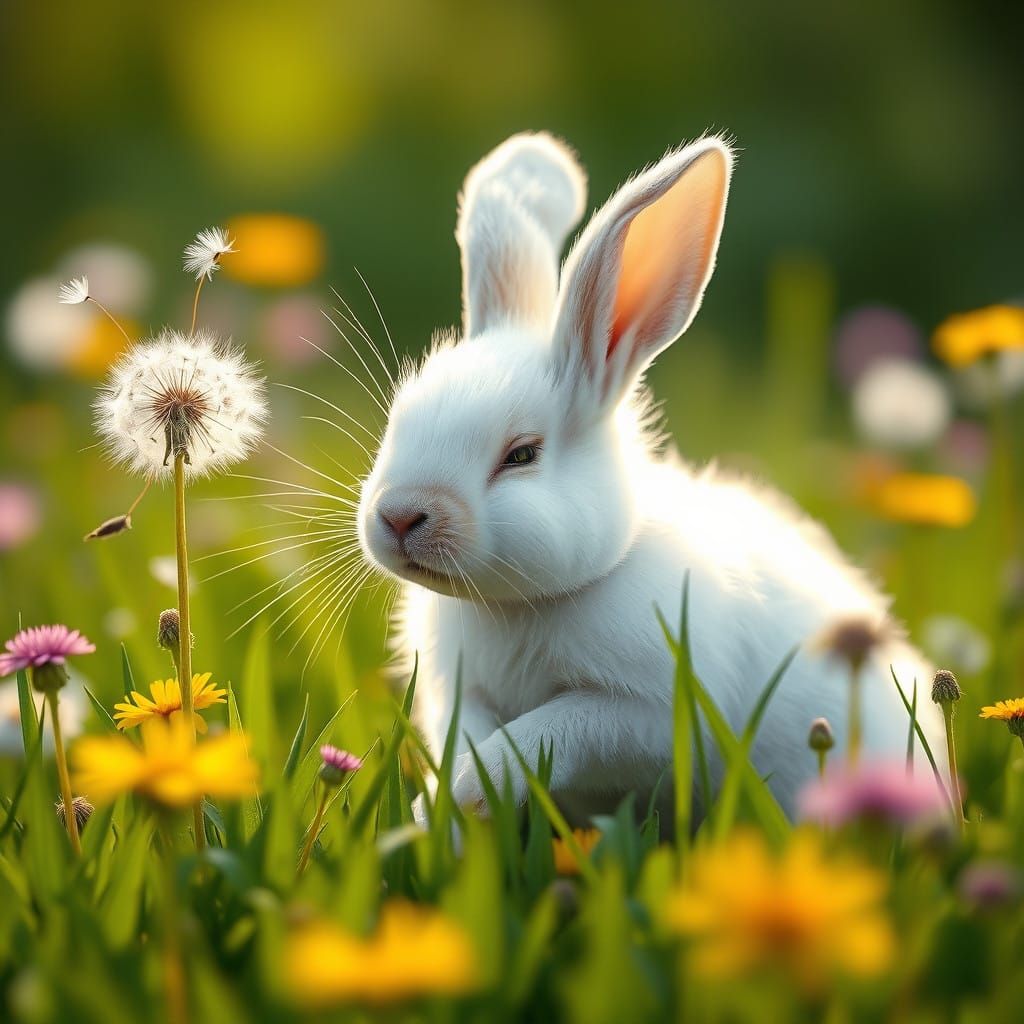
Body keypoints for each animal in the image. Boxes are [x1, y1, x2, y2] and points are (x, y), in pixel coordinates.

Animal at [356, 131, 945, 827]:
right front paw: (441, 806)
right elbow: (472, 731)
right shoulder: (461, 693)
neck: (519, 606)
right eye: (396, 421)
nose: (400, 514)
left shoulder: (643, 714)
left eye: (522, 454)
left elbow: (548, 734)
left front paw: (461, 792)